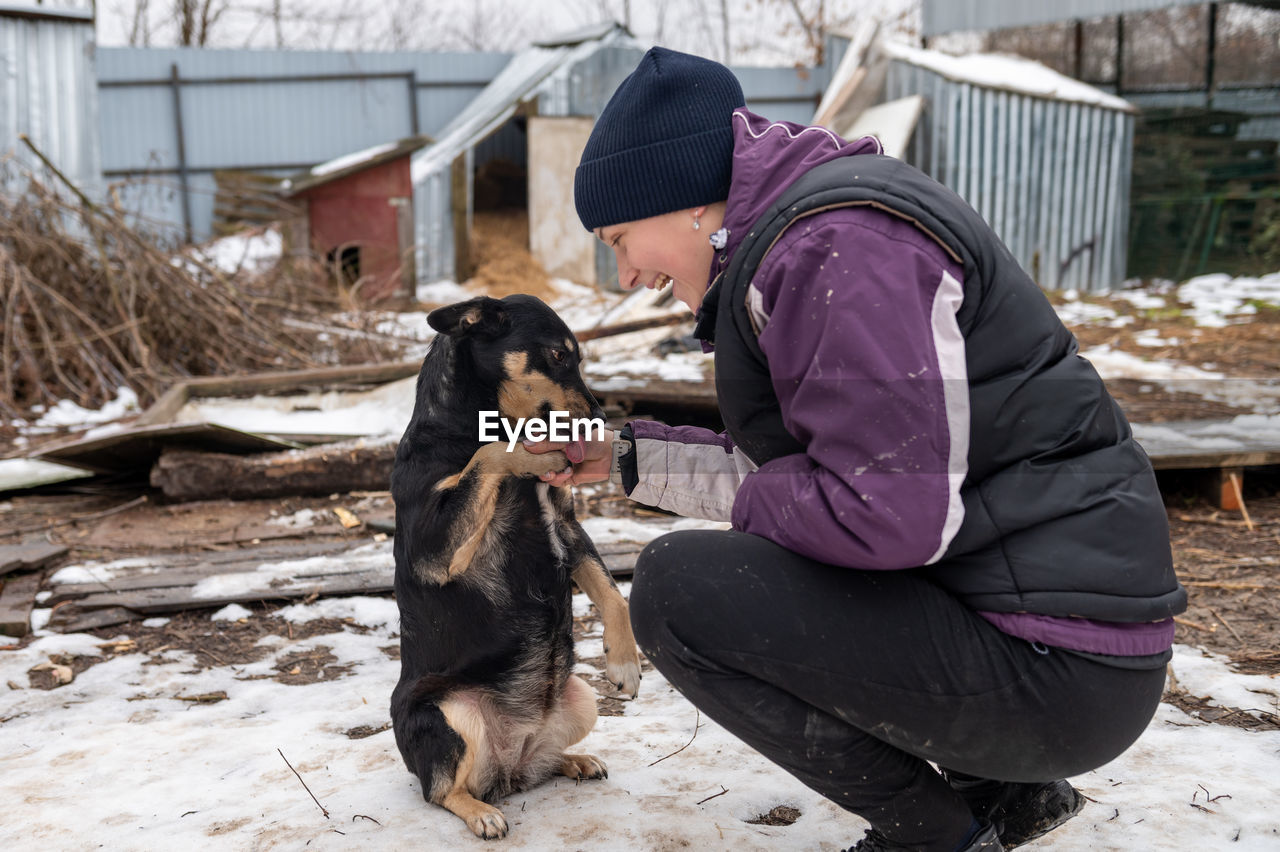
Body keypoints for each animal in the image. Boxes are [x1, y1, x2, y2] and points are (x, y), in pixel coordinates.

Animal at [389, 291, 640, 834]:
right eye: (559, 355)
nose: (600, 421)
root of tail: (508, 769)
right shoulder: (433, 552)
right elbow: (491, 450)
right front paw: (530, 450)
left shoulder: (567, 528)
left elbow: (613, 593)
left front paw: (626, 663)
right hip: (447, 714)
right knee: (440, 790)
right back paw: (482, 812)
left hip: (581, 699)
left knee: (540, 765)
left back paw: (573, 761)